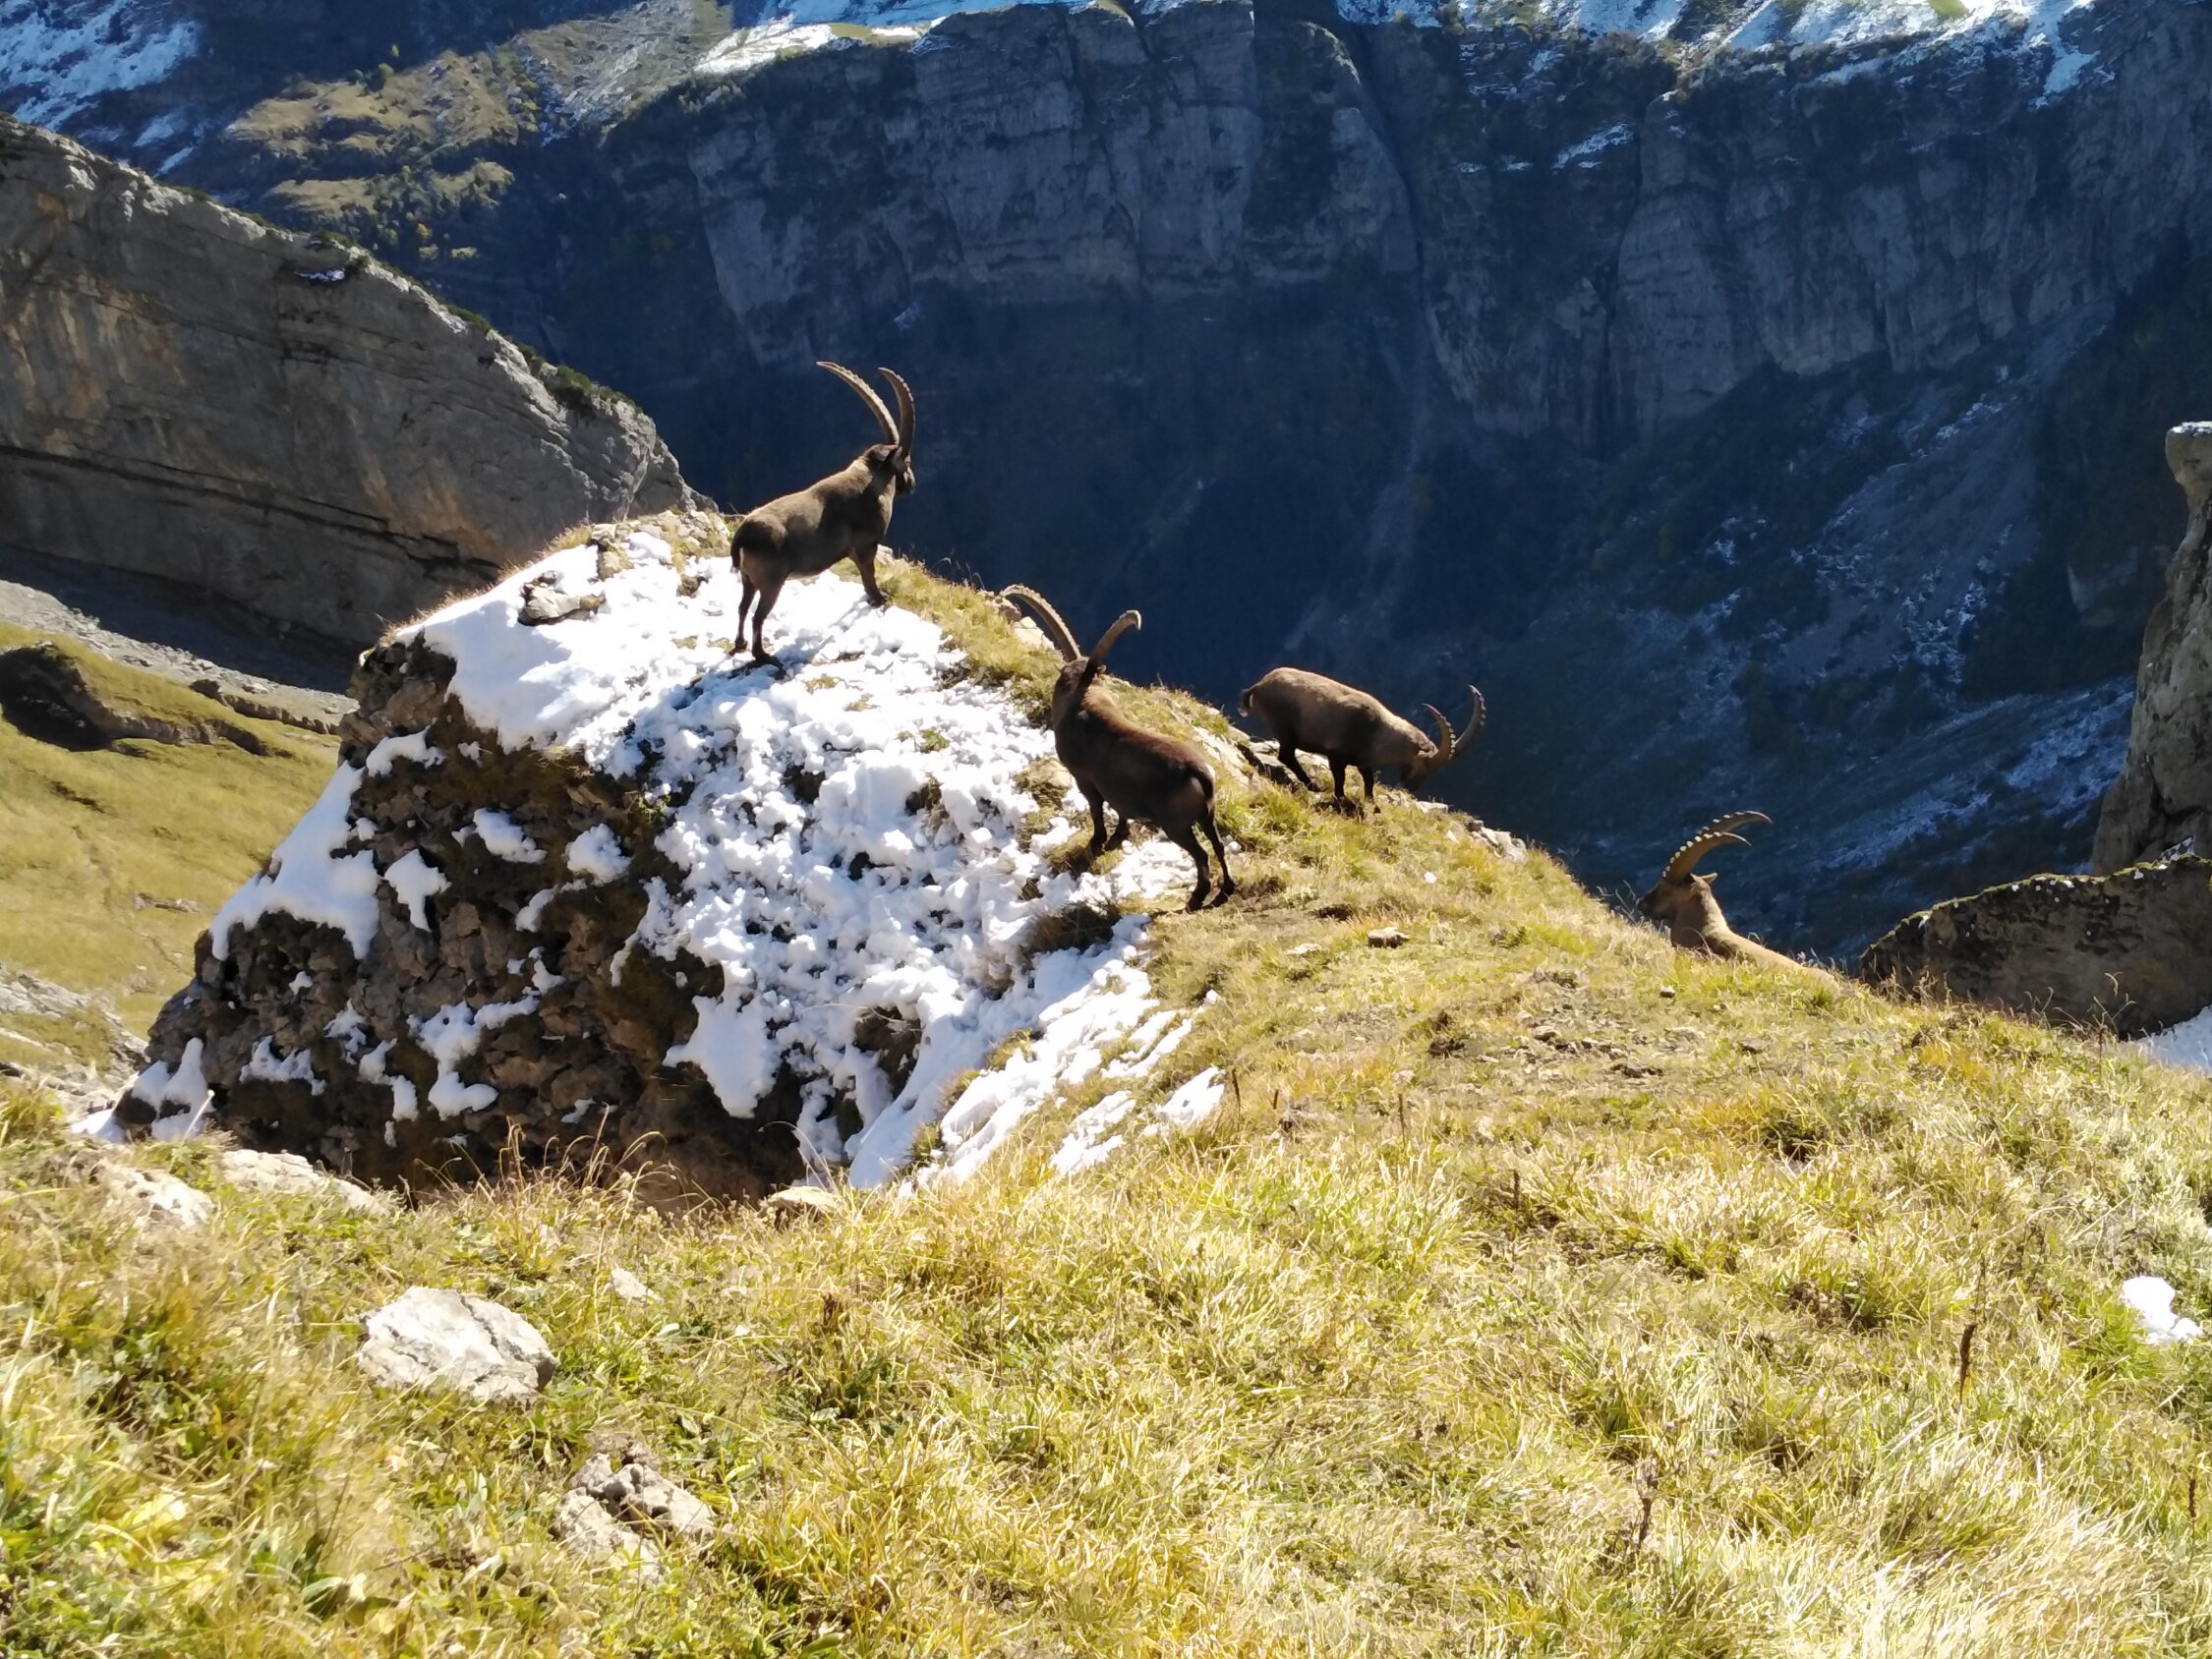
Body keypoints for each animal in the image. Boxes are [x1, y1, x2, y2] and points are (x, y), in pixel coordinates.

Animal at [729, 362, 915, 669]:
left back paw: (741, 644)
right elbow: (869, 574)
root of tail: (742, 537)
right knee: (758, 615)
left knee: (742, 607)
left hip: (747, 578)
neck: (872, 481)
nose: (911, 484)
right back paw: (762, 655)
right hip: (771, 582)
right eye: (907, 461)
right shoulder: (866, 545)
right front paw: (879, 599)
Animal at [1001, 584, 1235, 912]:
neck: (1083, 699)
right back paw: (1227, 888)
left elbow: (1097, 810)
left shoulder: (1085, 779)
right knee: (1218, 845)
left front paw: (1097, 842)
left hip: (1176, 824)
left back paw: (1196, 898)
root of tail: (1200, 773)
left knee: (1201, 854)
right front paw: (1117, 837)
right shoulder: (1117, 791)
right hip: (1207, 815)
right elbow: (1121, 812)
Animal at [1238, 667, 1484, 809]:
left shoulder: (1365, 762)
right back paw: (1313, 785)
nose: (1410, 787)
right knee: (1286, 755)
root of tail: (1258, 687)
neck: (1379, 731)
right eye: (1423, 764)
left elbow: (1369, 780)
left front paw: (1372, 804)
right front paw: (1342, 798)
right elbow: (1340, 778)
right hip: (1285, 729)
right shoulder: (1337, 756)